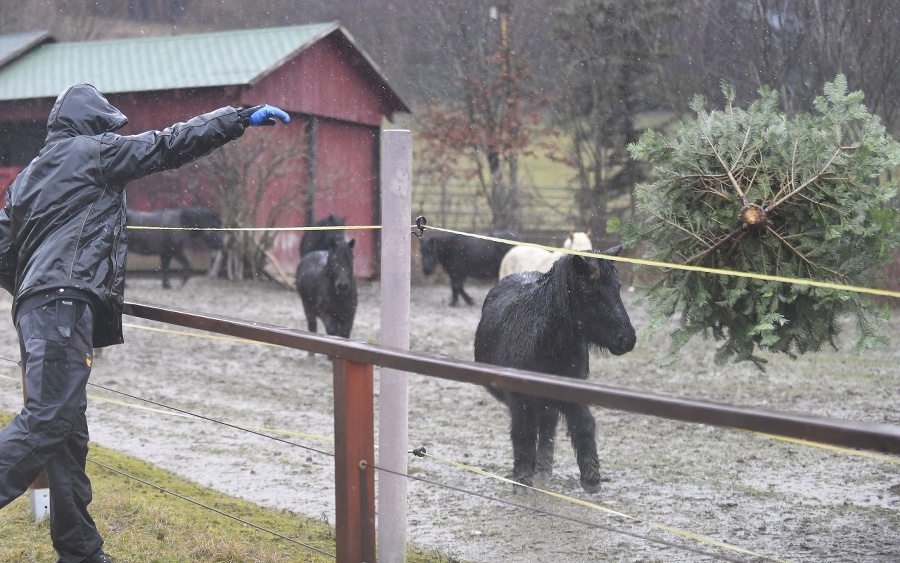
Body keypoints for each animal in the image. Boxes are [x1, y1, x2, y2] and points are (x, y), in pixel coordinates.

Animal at [474, 247, 636, 494]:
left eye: (617, 287)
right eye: (591, 293)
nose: (627, 339)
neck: (545, 343)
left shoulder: (572, 391)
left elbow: (583, 425)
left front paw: (591, 478)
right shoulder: (520, 400)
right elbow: (523, 433)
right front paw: (522, 480)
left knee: (548, 428)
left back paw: (543, 470)